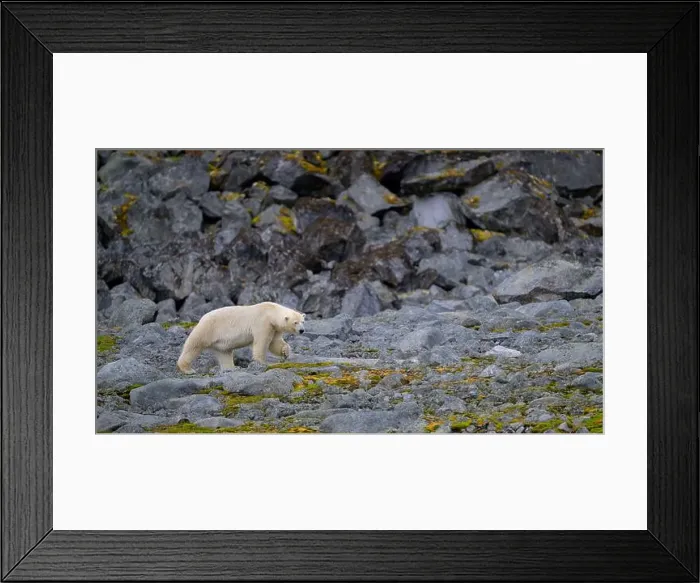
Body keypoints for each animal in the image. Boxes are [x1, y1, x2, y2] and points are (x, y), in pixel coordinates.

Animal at [176, 302, 306, 374]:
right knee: (193, 345)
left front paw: (286, 351)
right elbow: (262, 342)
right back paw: (188, 369)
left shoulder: (274, 328)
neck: (270, 311)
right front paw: (262, 362)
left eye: (303, 321)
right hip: (208, 329)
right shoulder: (262, 323)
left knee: (224, 354)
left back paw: (231, 368)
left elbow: (275, 343)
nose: (302, 330)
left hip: (220, 343)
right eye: (295, 322)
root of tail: (202, 318)